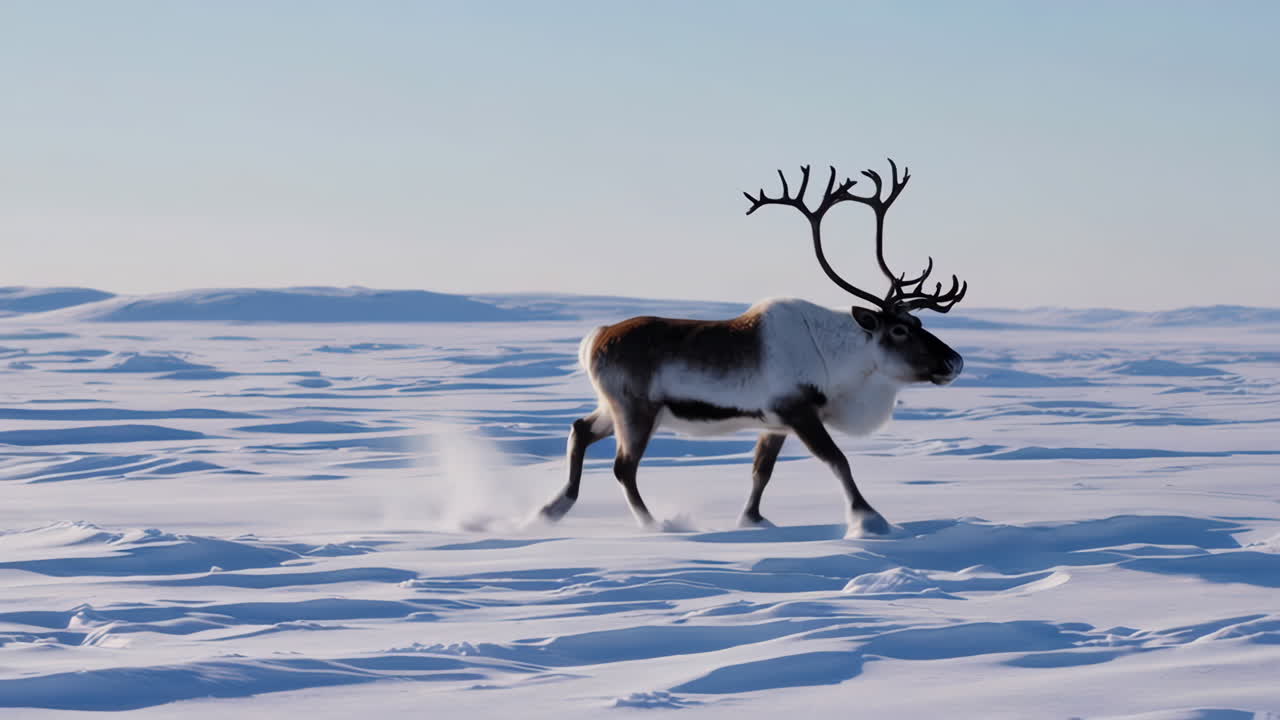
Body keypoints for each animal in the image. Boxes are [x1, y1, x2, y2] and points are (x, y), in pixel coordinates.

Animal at [538, 159, 967, 536]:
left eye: (919, 323)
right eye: (899, 329)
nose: (955, 361)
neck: (841, 359)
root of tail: (596, 337)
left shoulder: (774, 423)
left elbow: (762, 471)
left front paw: (753, 520)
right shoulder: (798, 411)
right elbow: (838, 460)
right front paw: (869, 520)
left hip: (616, 407)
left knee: (580, 429)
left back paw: (549, 510)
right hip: (636, 410)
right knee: (623, 467)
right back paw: (655, 524)